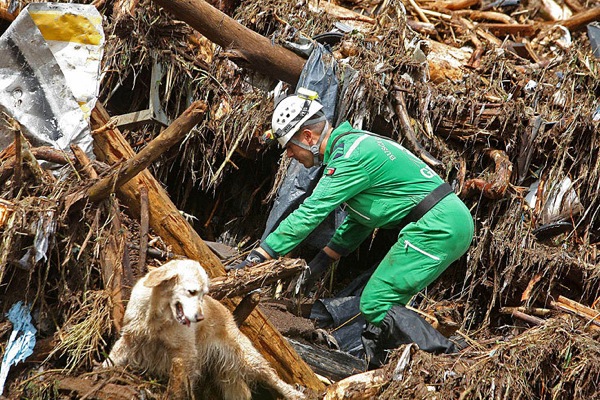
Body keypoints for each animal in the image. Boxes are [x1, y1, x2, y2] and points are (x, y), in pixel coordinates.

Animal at [102, 260, 304, 400]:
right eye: (192, 291)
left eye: (204, 294)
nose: (200, 317)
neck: (158, 316)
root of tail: (228, 313)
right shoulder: (129, 338)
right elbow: (111, 359)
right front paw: (100, 370)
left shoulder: (185, 354)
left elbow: (178, 385)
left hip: (247, 357)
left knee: (271, 376)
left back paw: (294, 393)